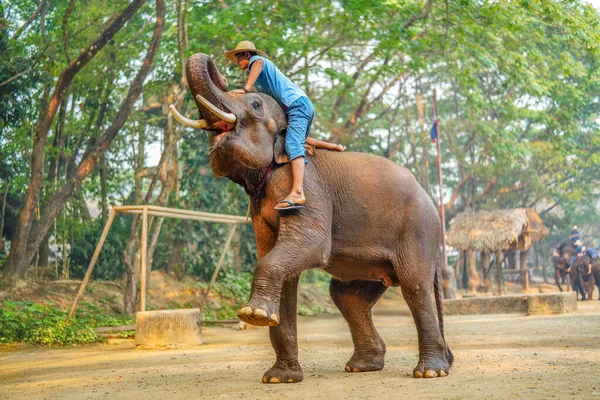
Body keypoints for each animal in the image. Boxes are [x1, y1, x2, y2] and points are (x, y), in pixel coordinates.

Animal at [171, 52, 452, 382]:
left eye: (255, 104)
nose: (226, 76)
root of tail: (430, 199)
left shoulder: (306, 186)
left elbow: (310, 245)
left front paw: (253, 315)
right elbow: (280, 264)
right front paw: (278, 377)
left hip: (419, 228)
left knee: (414, 286)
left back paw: (430, 372)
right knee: (346, 296)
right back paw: (362, 366)